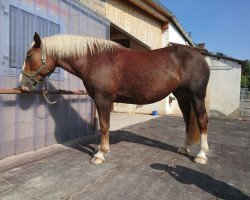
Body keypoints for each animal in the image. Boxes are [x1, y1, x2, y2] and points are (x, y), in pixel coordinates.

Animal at [19, 32, 210, 164]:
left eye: (28, 55)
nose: (23, 84)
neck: (93, 59)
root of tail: (199, 56)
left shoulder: (102, 98)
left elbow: (104, 125)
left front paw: (100, 154)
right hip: (182, 96)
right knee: (188, 120)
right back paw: (184, 148)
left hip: (196, 96)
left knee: (202, 120)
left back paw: (201, 155)